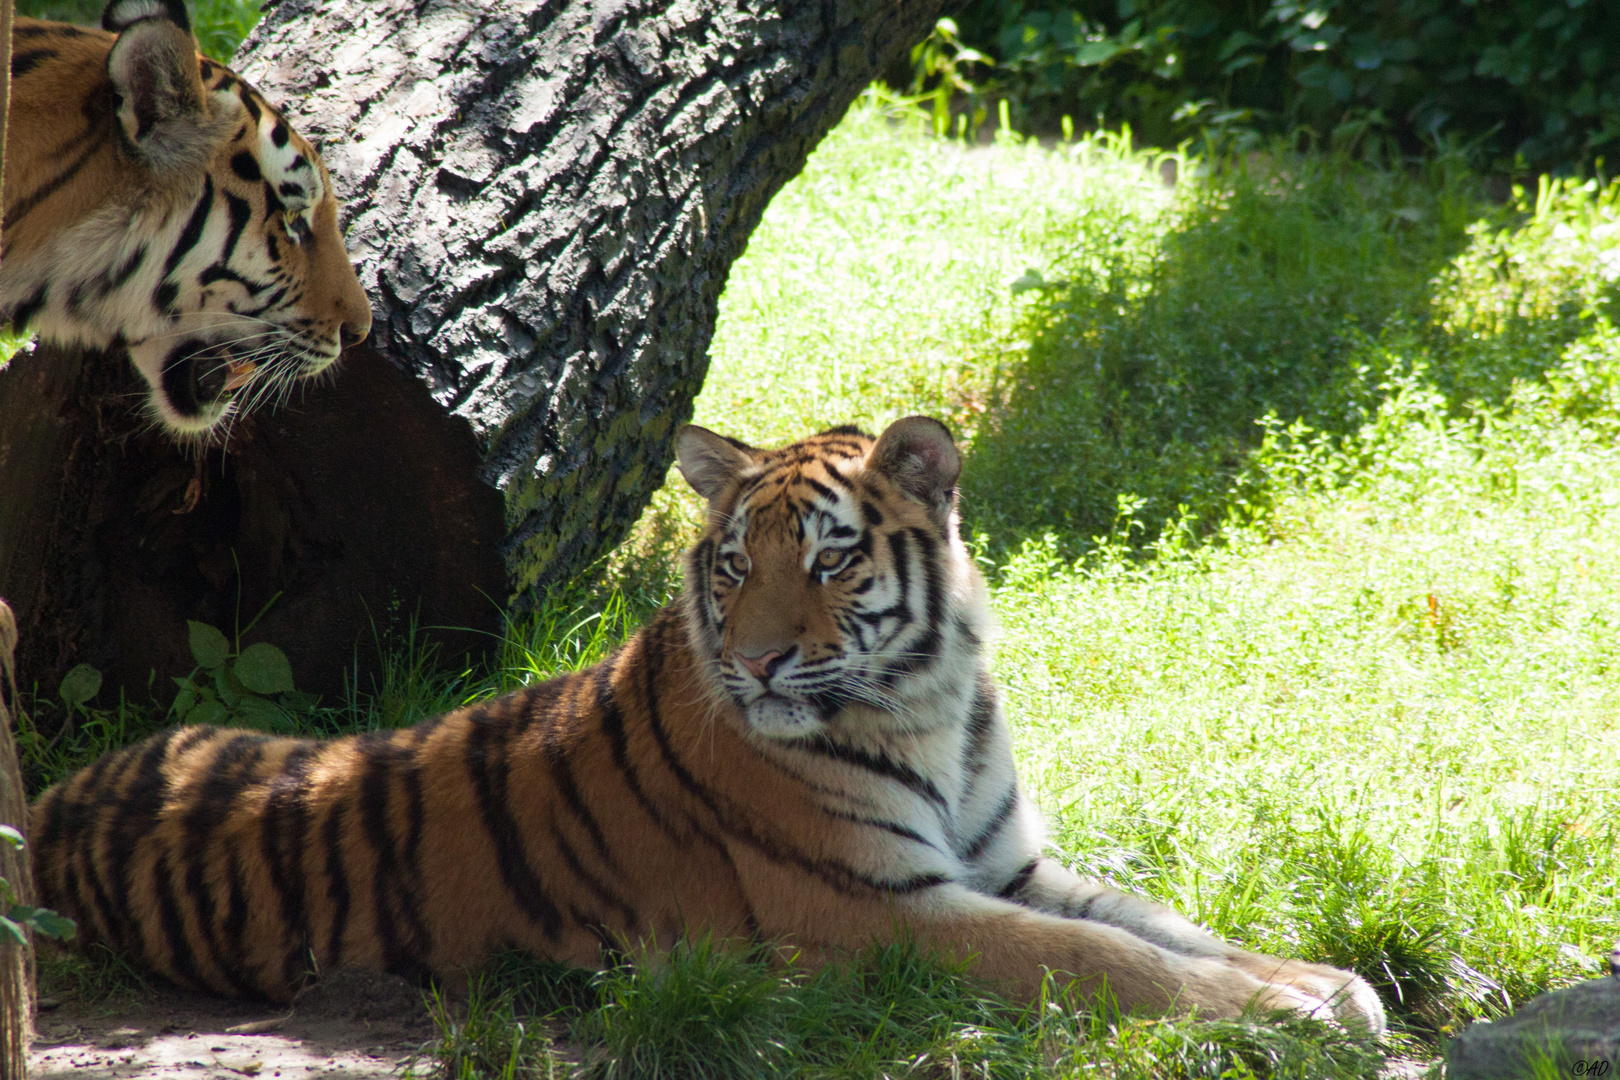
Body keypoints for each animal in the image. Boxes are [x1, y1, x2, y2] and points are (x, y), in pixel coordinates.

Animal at [31, 417, 1386, 1036]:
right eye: (734, 567)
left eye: (831, 560)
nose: (756, 661)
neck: (934, 705)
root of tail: (50, 802)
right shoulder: (874, 909)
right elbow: (1104, 959)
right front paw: (1296, 1014)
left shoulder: (1006, 864)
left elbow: (1160, 923)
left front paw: (1323, 980)